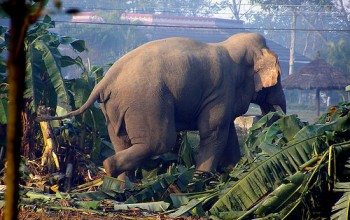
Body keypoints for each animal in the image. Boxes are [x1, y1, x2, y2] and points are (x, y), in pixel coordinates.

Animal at [37, 33, 286, 180]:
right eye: (279, 76)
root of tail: (105, 81)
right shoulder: (221, 90)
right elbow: (214, 131)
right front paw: (201, 179)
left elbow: (227, 131)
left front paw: (233, 172)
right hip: (147, 101)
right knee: (160, 140)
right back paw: (109, 167)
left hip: (114, 108)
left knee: (120, 140)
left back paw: (121, 183)